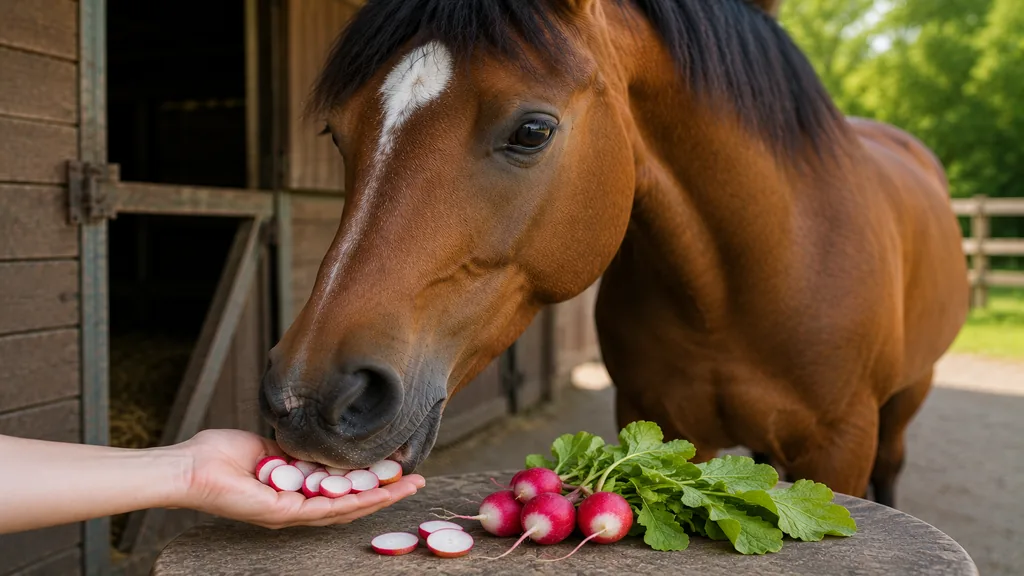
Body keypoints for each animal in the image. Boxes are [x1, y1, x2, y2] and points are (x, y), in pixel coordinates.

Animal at [258, 0, 969, 507]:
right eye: (337, 133)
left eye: (533, 131)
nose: (308, 398)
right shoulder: (661, 424)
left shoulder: (840, 448)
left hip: (906, 400)